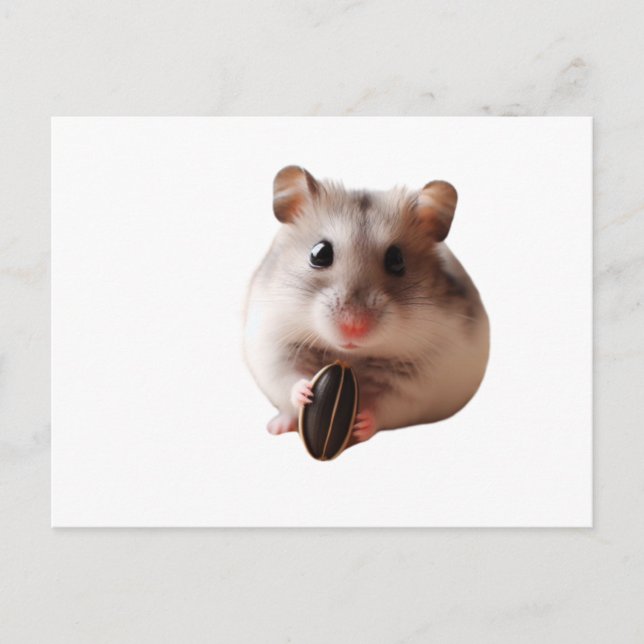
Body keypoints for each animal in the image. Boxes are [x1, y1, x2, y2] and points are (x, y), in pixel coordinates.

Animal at [243, 166, 489, 446]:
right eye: (319, 253)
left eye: (397, 260)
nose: (354, 328)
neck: (350, 355)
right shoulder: (272, 346)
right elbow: (289, 379)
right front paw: (306, 392)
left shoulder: (420, 378)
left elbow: (385, 405)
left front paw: (361, 424)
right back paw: (277, 427)